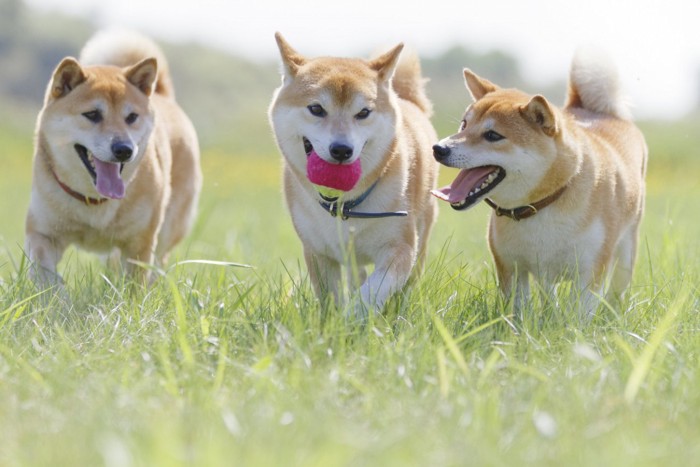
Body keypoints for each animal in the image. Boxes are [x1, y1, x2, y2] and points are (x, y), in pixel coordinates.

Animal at [24, 31, 200, 288]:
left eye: (132, 117)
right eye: (92, 114)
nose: (124, 149)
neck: (93, 201)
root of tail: (162, 95)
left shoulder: (140, 243)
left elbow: (135, 286)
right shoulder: (43, 233)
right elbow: (46, 276)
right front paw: (57, 296)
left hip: (168, 228)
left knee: (158, 263)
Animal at [268, 33, 438, 318]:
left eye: (363, 113)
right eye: (316, 109)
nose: (341, 149)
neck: (345, 205)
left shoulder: (400, 248)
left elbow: (372, 291)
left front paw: (352, 318)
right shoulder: (318, 252)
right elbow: (331, 297)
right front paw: (334, 322)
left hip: (422, 233)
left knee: (406, 284)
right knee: (356, 272)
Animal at [434, 48, 648, 318]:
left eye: (493, 135)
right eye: (464, 124)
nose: (438, 148)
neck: (541, 205)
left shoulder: (589, 272)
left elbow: (579, 315)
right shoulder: (511, 268)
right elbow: (518, 311)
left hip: (626, 248)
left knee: (618, 289)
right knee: (549, 294)